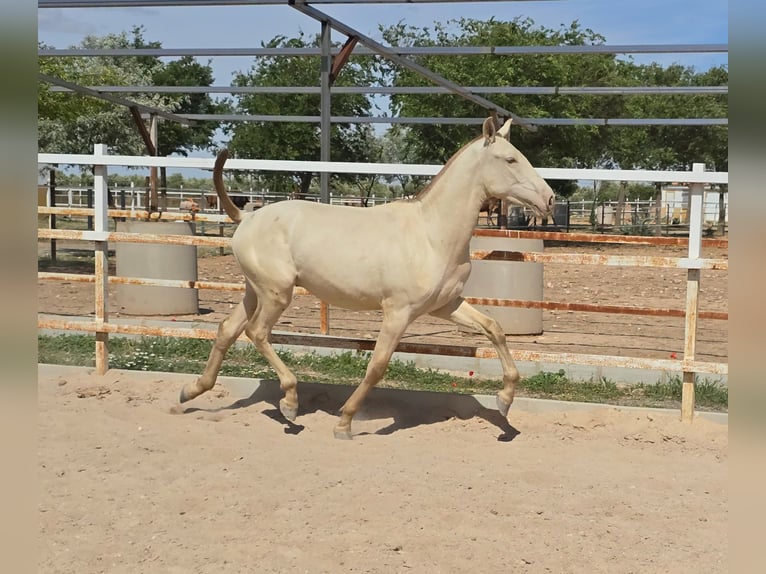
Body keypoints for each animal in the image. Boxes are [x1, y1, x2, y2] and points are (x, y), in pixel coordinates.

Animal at [183, 118, 560, 440]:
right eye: (510, 159)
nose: (549, 198)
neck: (431, 235)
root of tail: (246, 217)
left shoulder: (446, 305)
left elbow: (495, 329)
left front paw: (505, 400)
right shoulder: (398, 312)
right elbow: (377, 365)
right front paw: (345, 422)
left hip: (255, 291)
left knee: (227, 330)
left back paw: (192, 391)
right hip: (277, 294)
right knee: (256, 332)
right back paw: (289, 403)